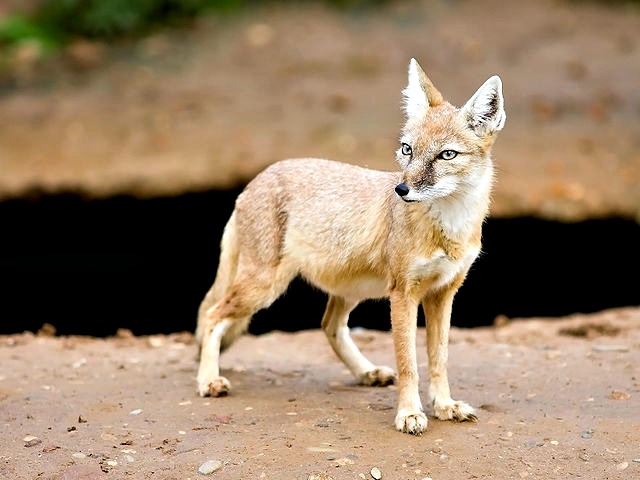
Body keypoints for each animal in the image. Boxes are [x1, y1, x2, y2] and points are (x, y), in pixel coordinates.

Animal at [195, 58, 505, 435]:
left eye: (446, 155)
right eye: (408, 150)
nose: (401, 189)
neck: (449, 228)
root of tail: (256, 179)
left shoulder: (443, 293)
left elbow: (438, 359)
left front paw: (444, 406)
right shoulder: (403, 293)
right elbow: (408, 363)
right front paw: (409, 413)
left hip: (349, 291)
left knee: (329, 325)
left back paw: (366, 372)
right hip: (264, 288)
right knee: (212, 315)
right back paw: (208, 380)